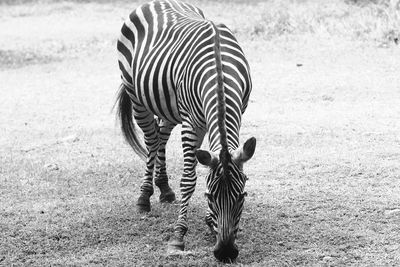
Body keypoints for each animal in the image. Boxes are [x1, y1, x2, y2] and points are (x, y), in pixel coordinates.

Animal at [115, 0, 256, 260]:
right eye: (209, 197)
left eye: (242, 197)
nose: (225, 252)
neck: (219, 72)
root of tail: (158, 2)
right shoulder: (192, 123)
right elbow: (189, 179)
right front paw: (179, 236)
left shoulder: (238, 112)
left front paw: (210, 222)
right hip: (137, 97)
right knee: (151, 140)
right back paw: (144, 196)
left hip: (169, 106)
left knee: (161, 135)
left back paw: (164, 188)